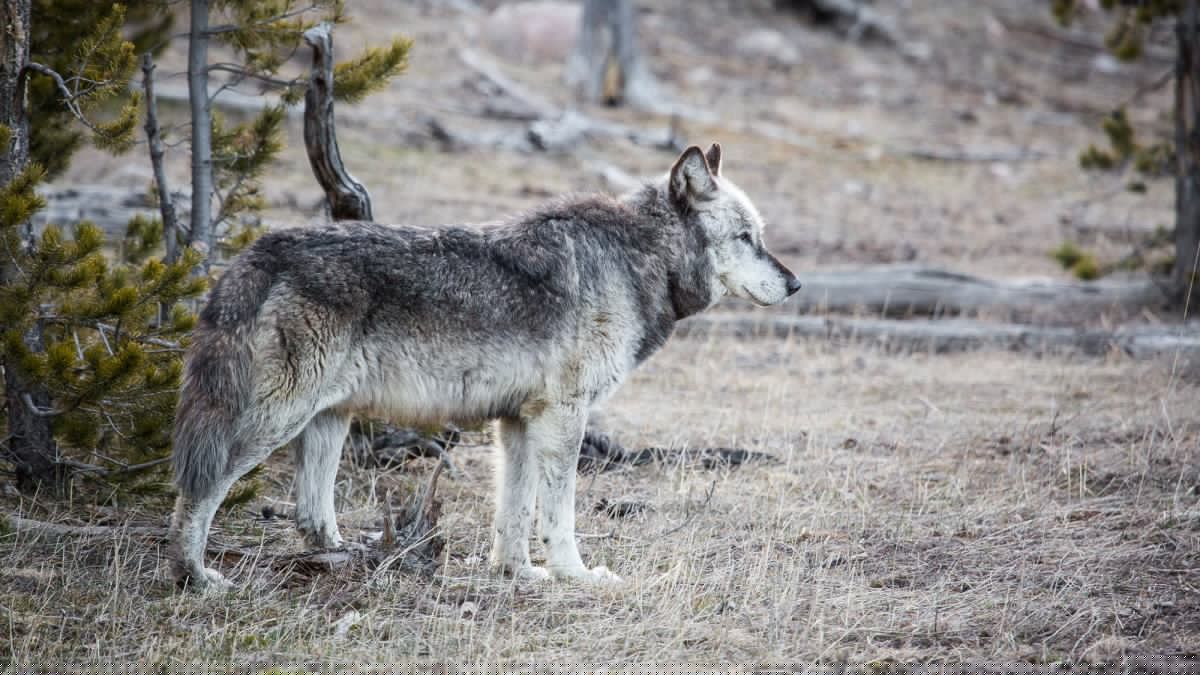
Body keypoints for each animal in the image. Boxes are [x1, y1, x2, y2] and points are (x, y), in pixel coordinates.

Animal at [168, 143, 801, 590]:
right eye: (746, 237)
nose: (796, 284)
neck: (638, 258)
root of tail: (255, 253)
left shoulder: (517, 421)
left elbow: (513, 513)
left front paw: (518, 573)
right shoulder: (563, 417)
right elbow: (559, 513)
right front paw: (576, 575)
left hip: (328, 421)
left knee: (310, 515)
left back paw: (346, 560)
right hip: (276, 421)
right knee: (199, 488)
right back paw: (195, 576)